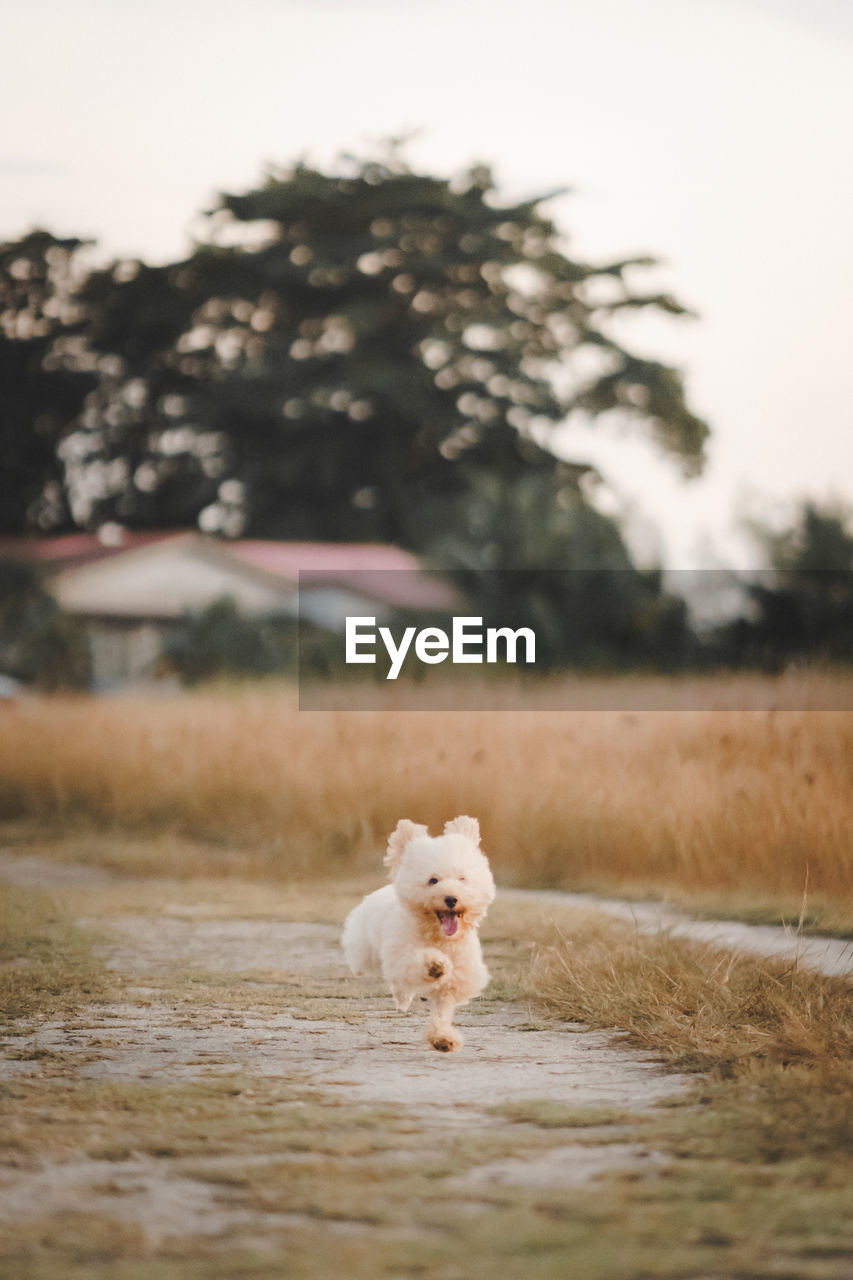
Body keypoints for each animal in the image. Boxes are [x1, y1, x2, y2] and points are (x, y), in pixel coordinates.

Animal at [343, 814, 494, 1054]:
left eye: (462, 878)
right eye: (433, 880)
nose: (451, 898)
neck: (440, 937)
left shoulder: (456, 980)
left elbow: (443, 1010)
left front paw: (443, 1038)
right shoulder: (403, 954)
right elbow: (418, 961)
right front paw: (435, 964)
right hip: (366, 948)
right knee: (394, 980)